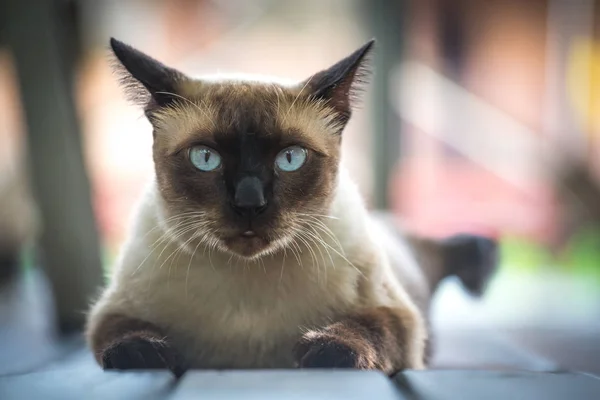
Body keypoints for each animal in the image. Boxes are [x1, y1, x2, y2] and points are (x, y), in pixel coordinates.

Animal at [85, 38, 496, 378]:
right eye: (205, 158)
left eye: (290, 158)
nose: (250, 203)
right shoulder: (112, 311)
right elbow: (122, 333)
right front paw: (142, 353)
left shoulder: (396, 316)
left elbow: (363, 329)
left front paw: (327, 351)